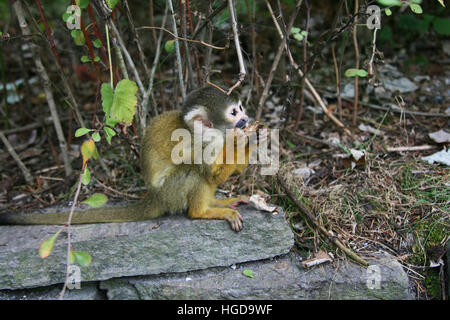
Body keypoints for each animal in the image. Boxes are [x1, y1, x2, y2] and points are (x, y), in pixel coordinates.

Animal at [0, 87, 268, 232]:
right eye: (234, 112)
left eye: (242, 107)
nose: (245, 118)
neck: (207, 132)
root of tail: (153, 198)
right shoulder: (199, 144)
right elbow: (211, 172)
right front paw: (239, 138)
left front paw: (256, 136)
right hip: (170, 194)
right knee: (193, 172)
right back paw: (202, 212)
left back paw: (219, 203)